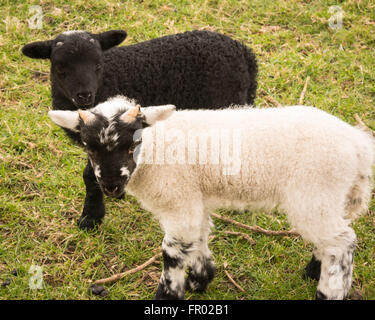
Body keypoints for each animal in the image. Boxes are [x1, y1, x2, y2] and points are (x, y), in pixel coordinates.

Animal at [48, 97, 374, 300]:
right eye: (88, 147)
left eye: (133, 144)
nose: (111, 186)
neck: (158, 148)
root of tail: (357, 144)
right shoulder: (193, 199)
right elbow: (198, 238)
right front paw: (201, 279)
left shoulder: (178, 198)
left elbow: (172, 250)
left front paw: (168, 293)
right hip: (327, 196)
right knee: (332, 239)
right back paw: (314, 270)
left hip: (313, 192)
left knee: (343, 242)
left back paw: (328, 291)